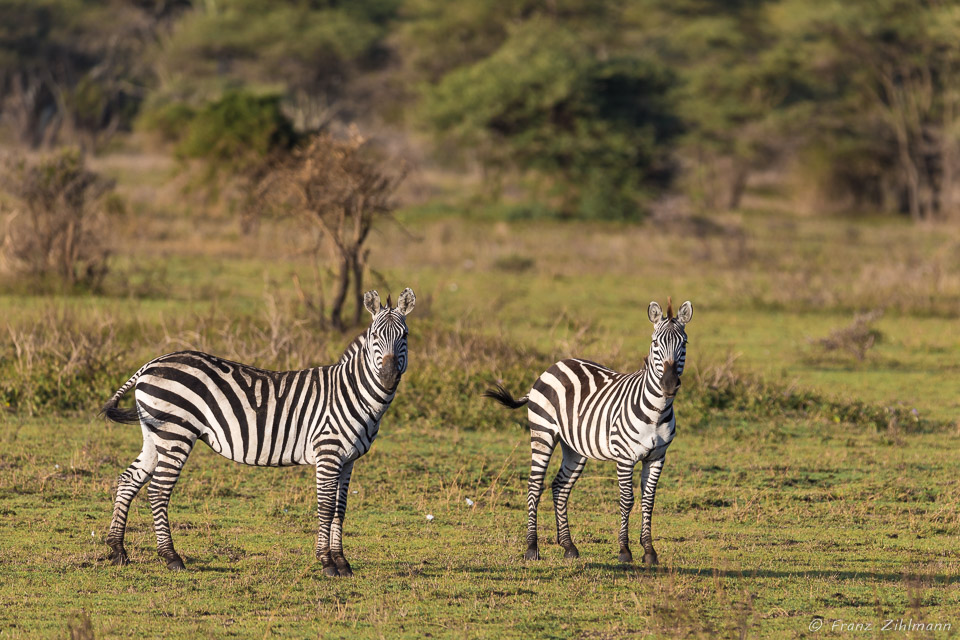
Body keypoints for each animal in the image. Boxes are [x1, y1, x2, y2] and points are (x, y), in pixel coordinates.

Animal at [102, 288, 416, 576]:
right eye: (375, 337)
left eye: (405, 336)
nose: (388, 377)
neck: (353, 393)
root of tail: (150, 363)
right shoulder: (328, 453)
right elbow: (326, 507)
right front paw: (327, 563)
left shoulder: (348, 460)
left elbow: (340, 509)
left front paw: (342, 562)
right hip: (176, 433)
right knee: (158, 490)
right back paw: (171, 557)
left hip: (155, 436)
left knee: (129, 479)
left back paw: (118, 550)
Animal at [488, 298, 688, 564]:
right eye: (655, 343)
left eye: (684, 343)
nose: (669, 384)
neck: (657, 411)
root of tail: (555, 365)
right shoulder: (625, 457)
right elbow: (627, 500)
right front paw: (624, 551)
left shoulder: (657, 457)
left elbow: (649, 501)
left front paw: (649, 551)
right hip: (542, 433)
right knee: (534, 485)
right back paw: (531, 548)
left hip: (574, 447)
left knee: (560, 487)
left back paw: (568, 546)